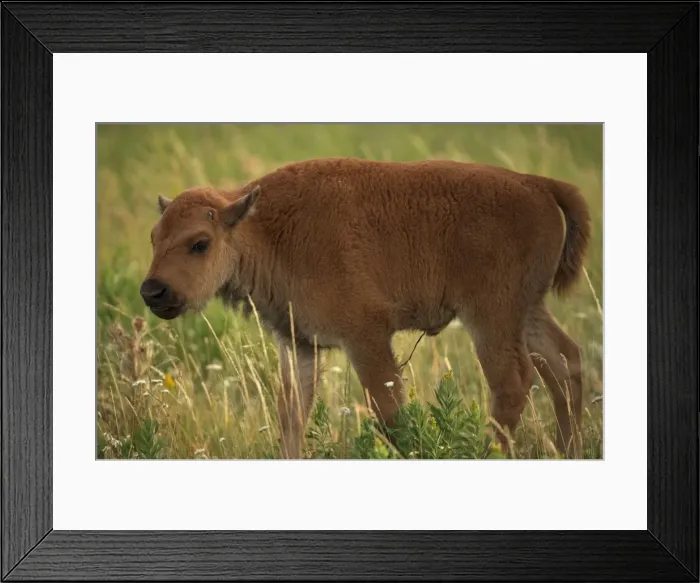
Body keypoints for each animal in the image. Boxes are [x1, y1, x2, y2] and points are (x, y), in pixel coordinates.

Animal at [141, 157, 592, 459]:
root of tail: (539, 185)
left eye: (200, 242)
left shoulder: (367, 337)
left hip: (491, 316)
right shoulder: (298, 345)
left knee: (513, 382)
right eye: (154, 237)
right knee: (564, 363)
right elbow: (292, 416)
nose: (153, 292)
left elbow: (390, 413)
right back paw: (568, 451)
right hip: (527, 311)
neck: (264, 229)